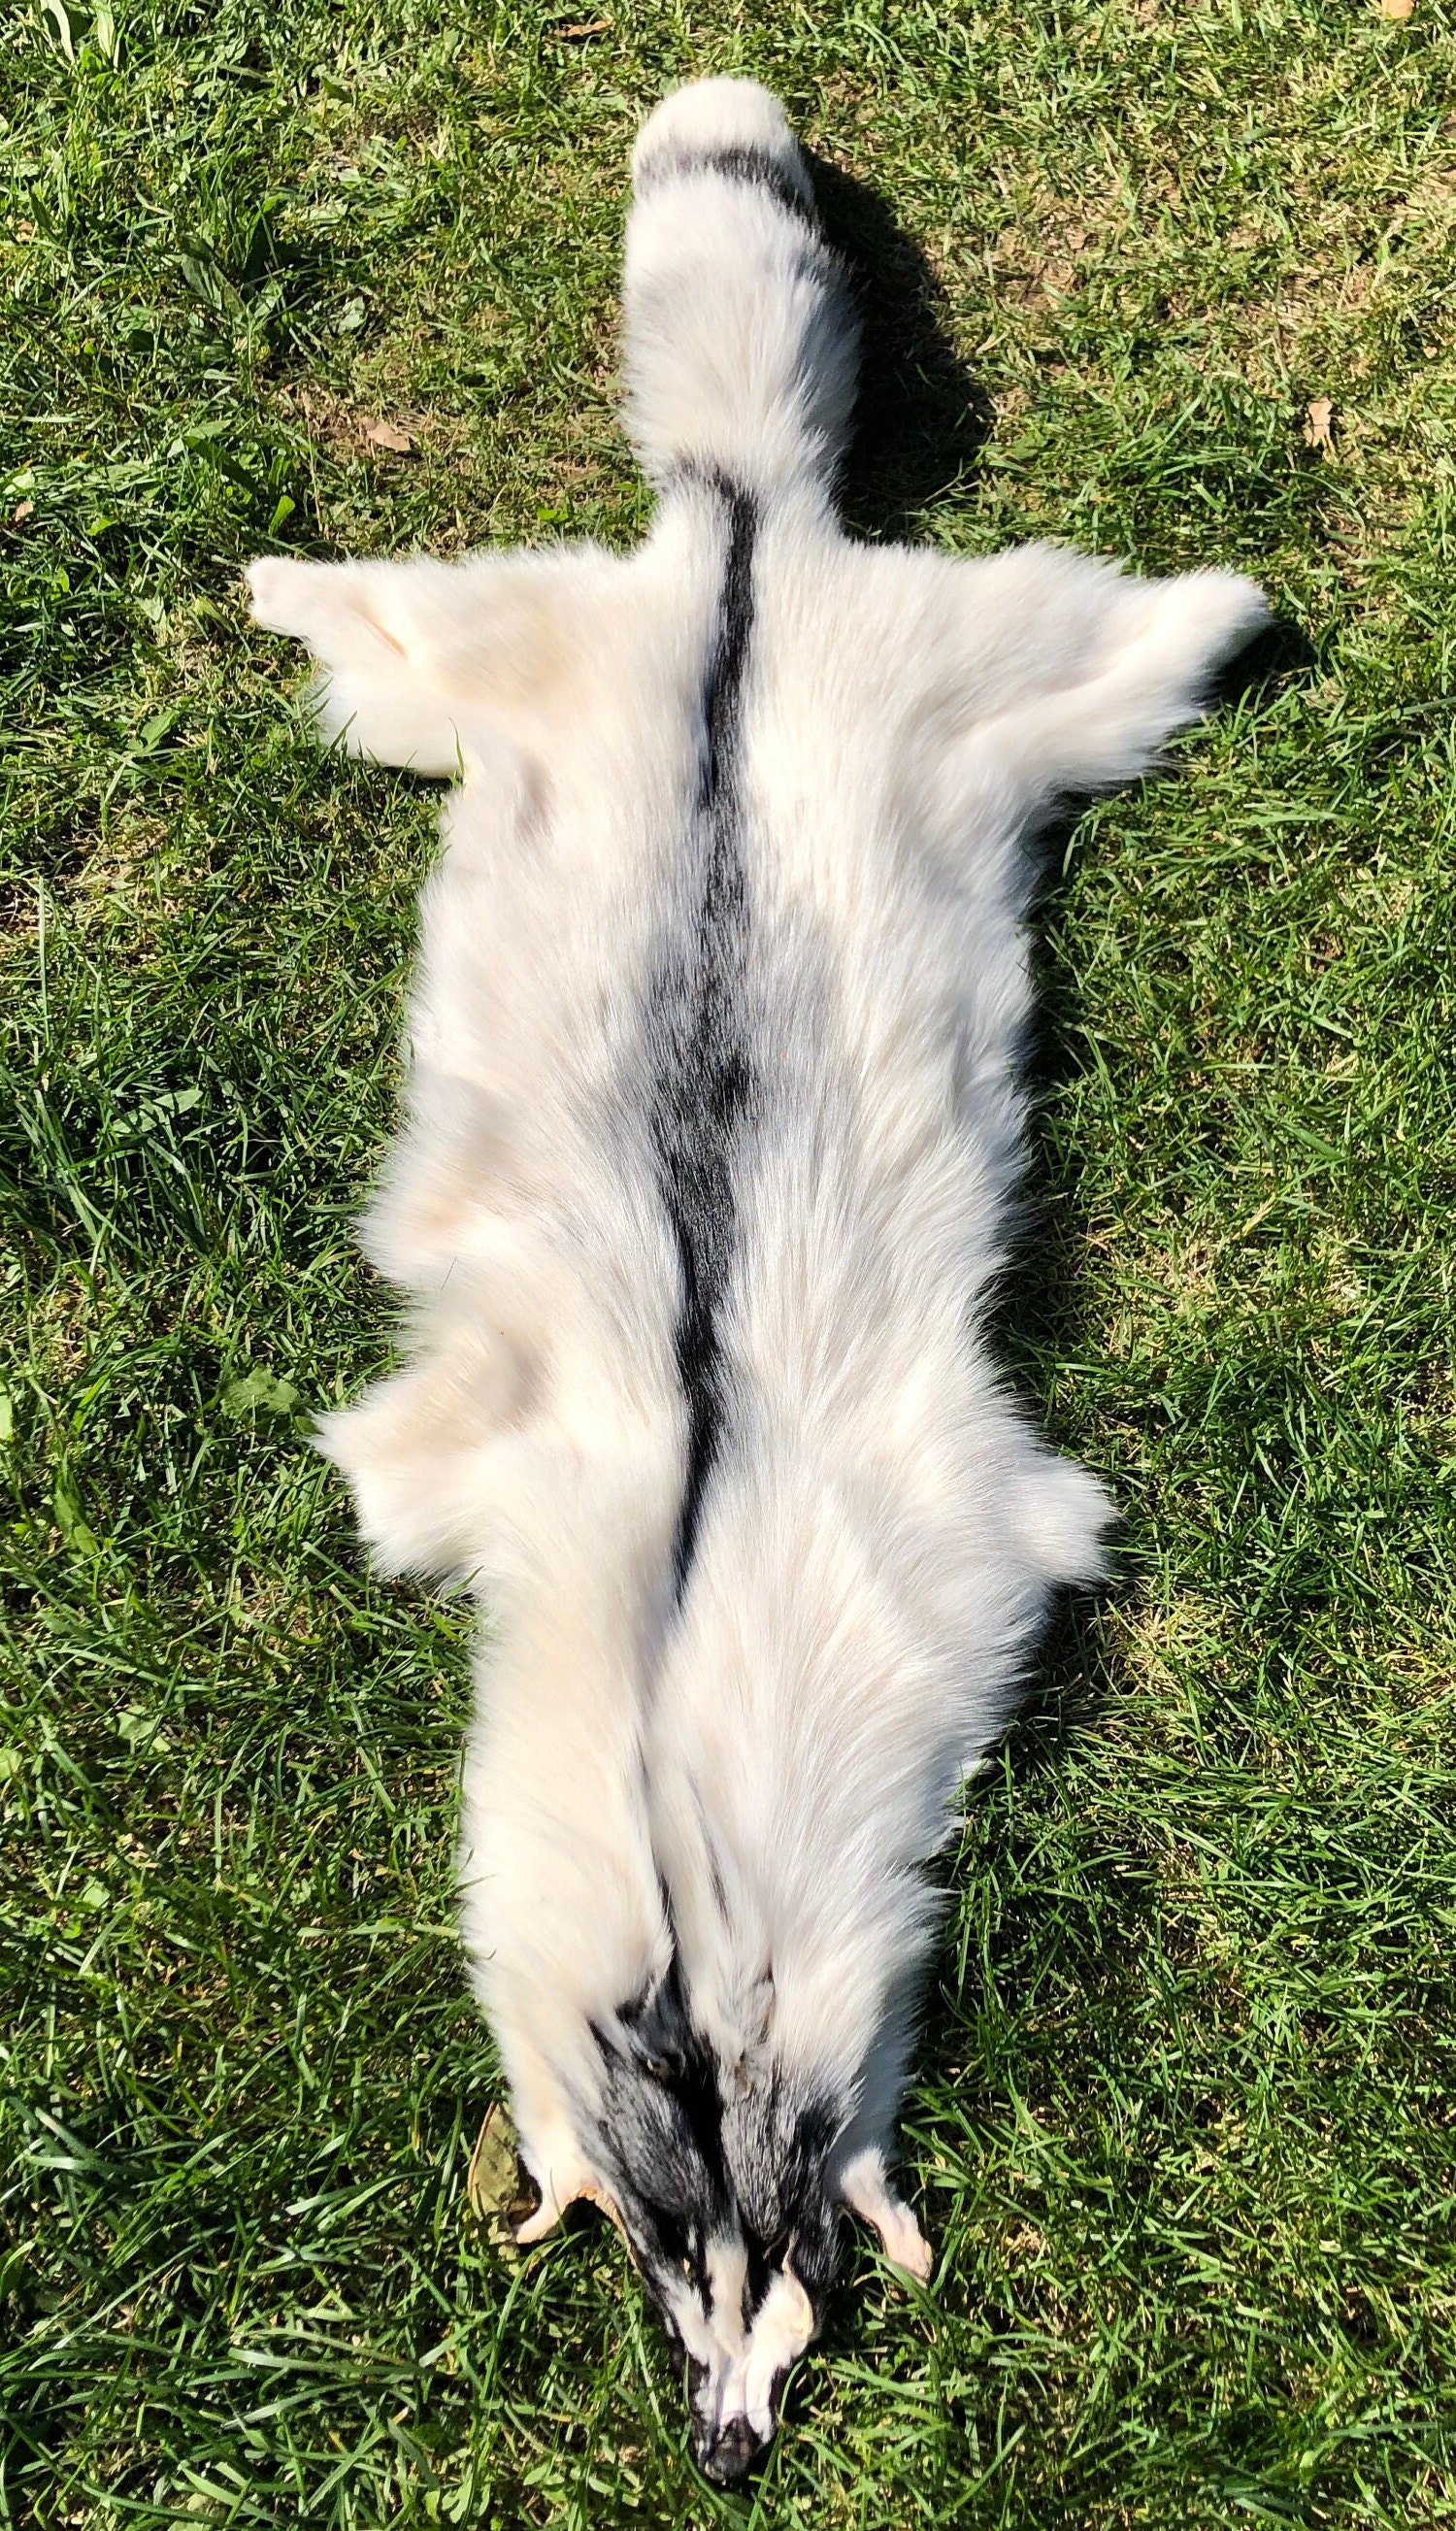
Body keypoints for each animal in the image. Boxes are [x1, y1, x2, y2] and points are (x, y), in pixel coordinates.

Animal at [248, 74, 1266, 2481]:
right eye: (653, 2243)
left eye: (781, 2244)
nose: (725, 2444)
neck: (687, 1765)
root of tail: (739, 545)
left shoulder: (966, 1541)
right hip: (590, 664)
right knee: (425, 634)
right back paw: (292, 586)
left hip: (966, 682)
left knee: (1101, 637)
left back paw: (1227, 602)